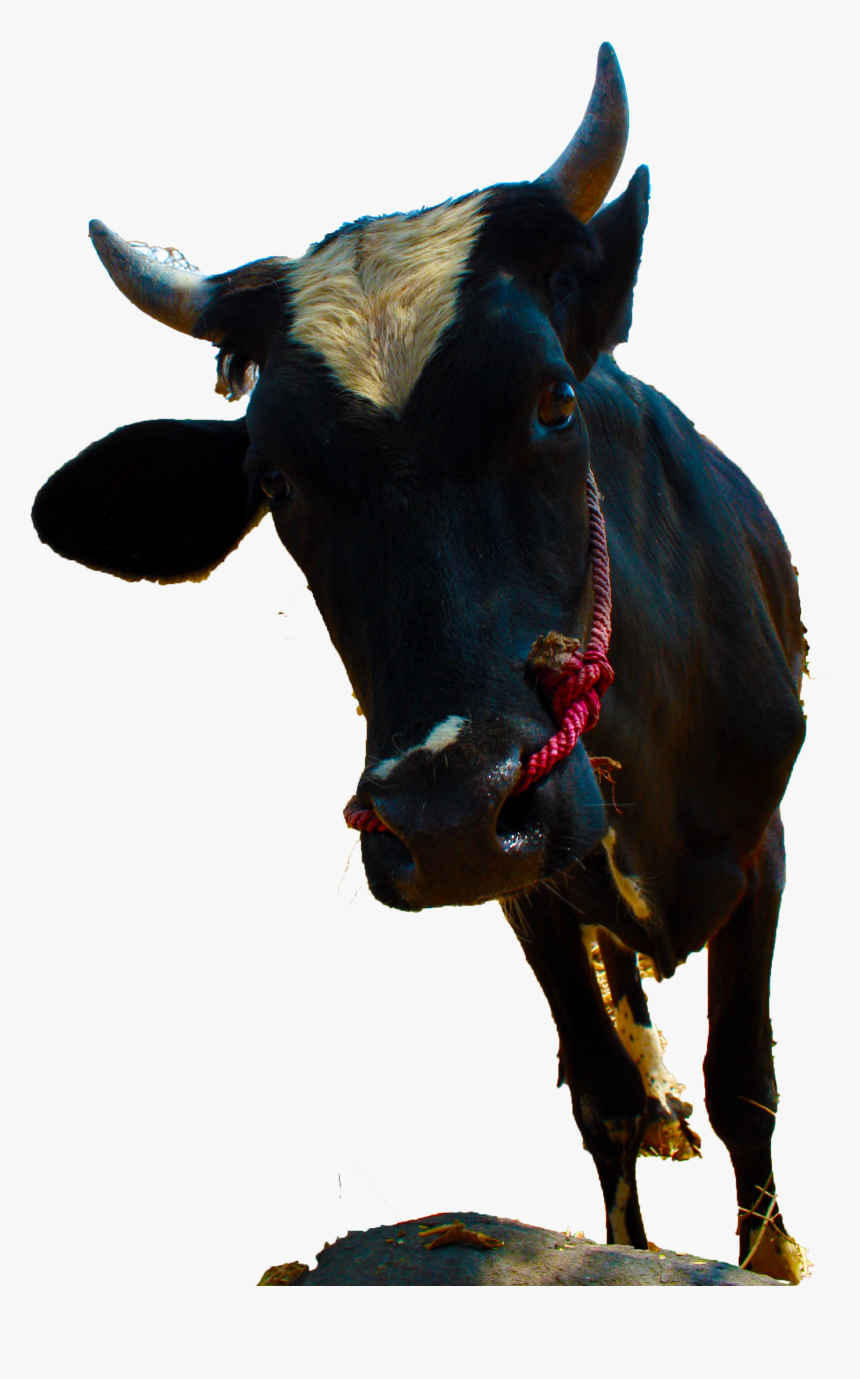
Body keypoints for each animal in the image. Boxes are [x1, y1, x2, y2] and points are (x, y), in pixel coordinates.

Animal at [31, 43, 808, 1282]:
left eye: (553, 399)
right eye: (273, 479)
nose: (447, 810)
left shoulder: (759, 840)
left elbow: (746, 1083)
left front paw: (768, 1256)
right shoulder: (527, 883)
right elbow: (599, 1097)